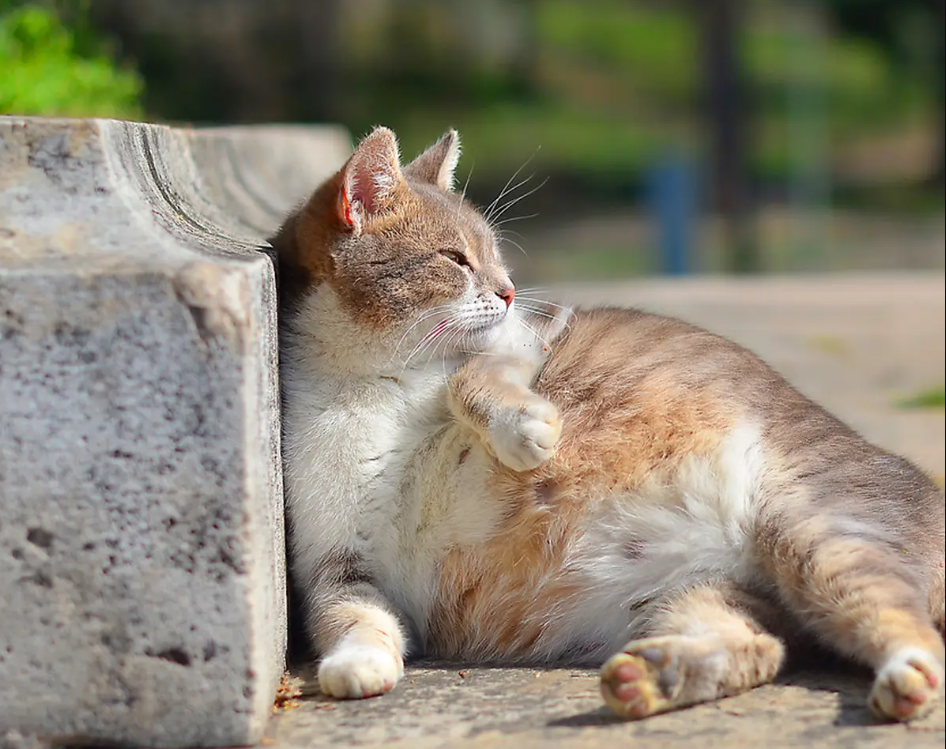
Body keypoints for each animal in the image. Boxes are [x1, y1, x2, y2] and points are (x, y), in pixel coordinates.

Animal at [268, 127, 944, 720]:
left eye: (497, 257)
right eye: (455, 259)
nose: (509, 290)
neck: (369, 384)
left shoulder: (527, 338)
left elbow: (470, 379)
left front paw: (526, 431)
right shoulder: (337, 565)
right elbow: (355, 619)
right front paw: (357, 666)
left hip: (818, 532)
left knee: (914, 632)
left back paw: (905, 679)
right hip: (702, 594)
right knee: (760, 644)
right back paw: (652, 678)